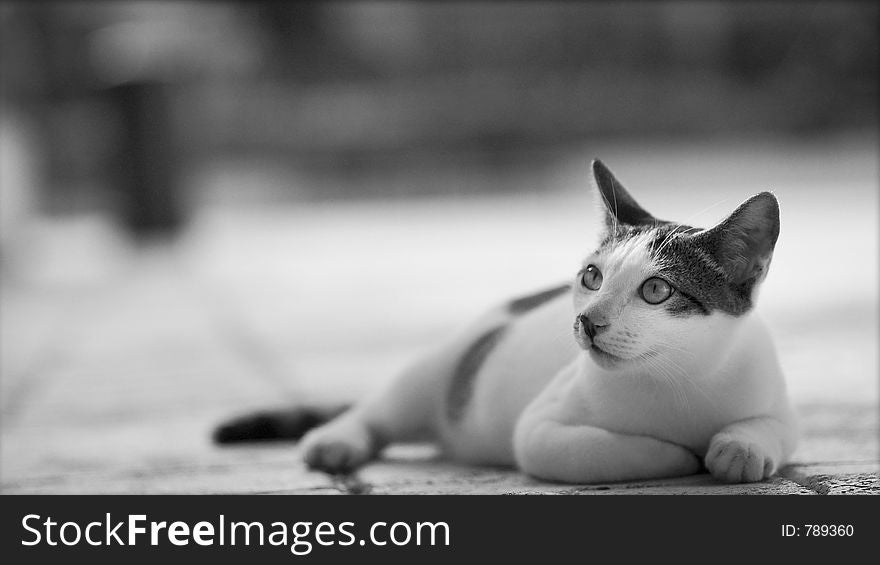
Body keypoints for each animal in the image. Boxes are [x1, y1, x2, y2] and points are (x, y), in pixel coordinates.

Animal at [215, 160, 796, 484]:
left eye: (656, 290)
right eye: (592, 276)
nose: (587, 320)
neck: (674, 379)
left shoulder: (775, 401)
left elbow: (765, 430)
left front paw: (736, 450)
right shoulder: (540, 430)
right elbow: (607, 449)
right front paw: (680, 454)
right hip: (437, 370)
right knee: (377, 410)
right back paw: (335, 441)